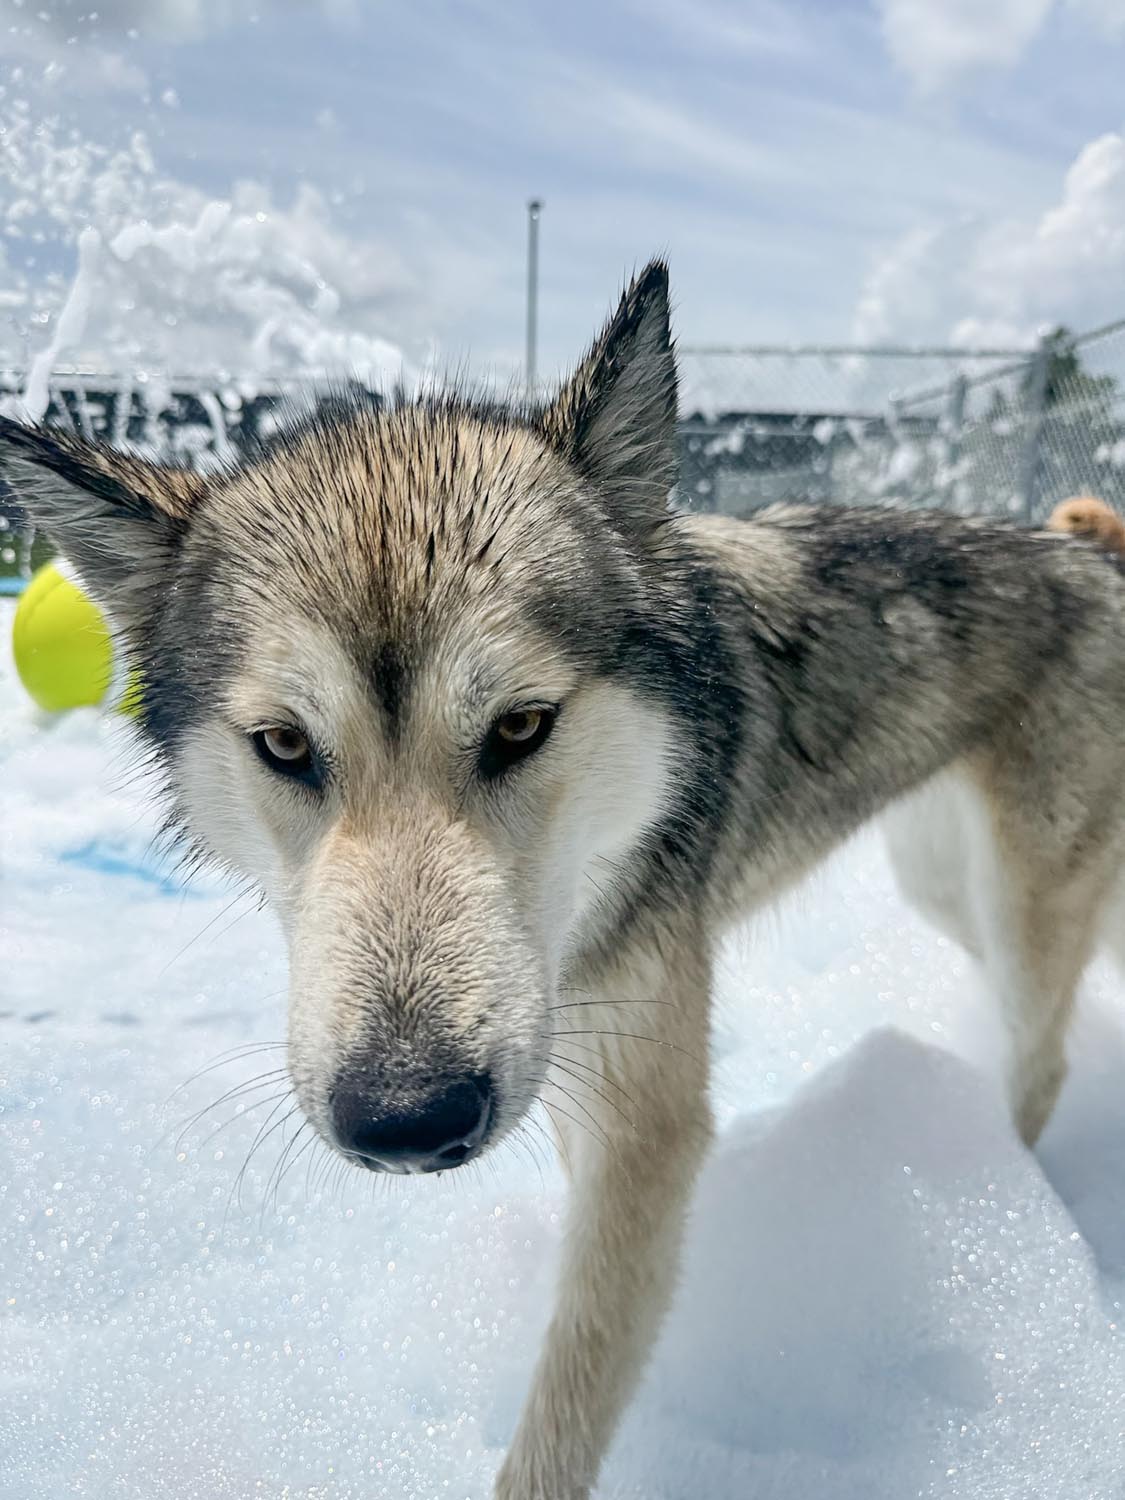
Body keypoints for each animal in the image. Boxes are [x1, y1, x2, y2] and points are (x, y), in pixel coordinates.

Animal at [4, 261, 1125, 1499]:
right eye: (287, 746)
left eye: (521, 726)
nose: (407, 1119)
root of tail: (1092, 555)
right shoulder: (582, 1065)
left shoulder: (650, 1126)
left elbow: (565, 1409)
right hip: (940, 880)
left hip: (1015, 904)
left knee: (1043, 1049)